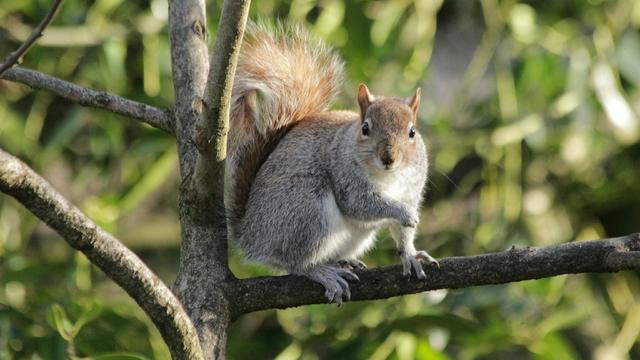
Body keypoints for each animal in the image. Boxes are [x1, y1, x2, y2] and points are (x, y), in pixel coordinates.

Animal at [226, 22, 440, 304]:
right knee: (293, 262)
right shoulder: (346, 176)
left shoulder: (411, 189)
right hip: (306, 212)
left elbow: (402, 232)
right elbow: (361, 204)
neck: (388, 177)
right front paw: (404, 214)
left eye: (412, 132)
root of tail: (250, 235)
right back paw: (322, 272)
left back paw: (342, 262)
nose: (388, 158)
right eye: (365, 128)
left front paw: (411, 254)